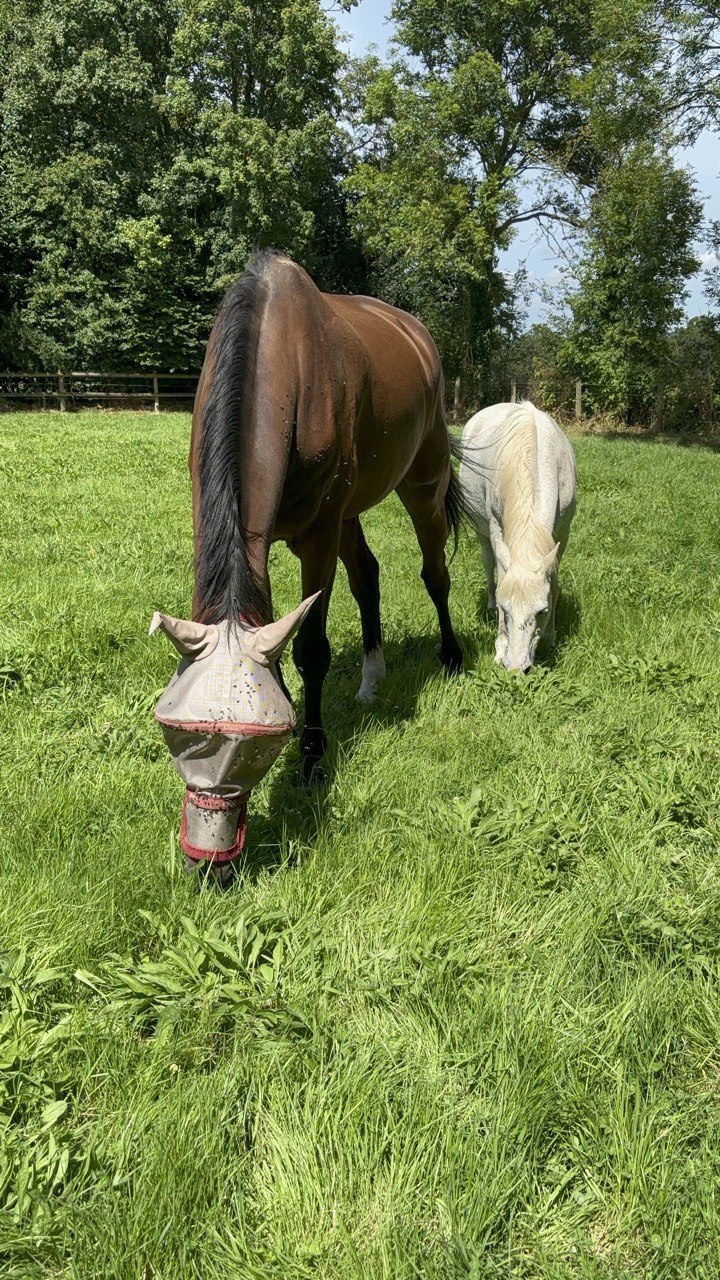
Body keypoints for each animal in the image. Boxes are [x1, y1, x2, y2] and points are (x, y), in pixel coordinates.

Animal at [459, 401, 576, 671]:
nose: (515, 669)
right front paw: (500, 647)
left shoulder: (563, 531)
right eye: (507, 609)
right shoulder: (496, 527)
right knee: (488, 563)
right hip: (481, 531)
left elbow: (554, 582)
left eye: (542, 611)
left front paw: (550, 637)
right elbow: (501, 576)